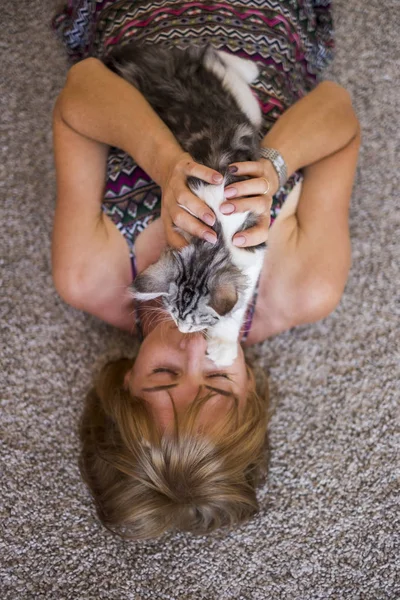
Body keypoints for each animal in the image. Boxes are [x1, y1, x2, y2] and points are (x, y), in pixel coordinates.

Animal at [104, 42, 266, 366]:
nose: (181, 328)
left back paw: (247, 65)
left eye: (199, 320)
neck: (215, 235)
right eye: (174, 312)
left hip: (242, 108)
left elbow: (240, 301)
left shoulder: (251, 244)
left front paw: (223, 343)